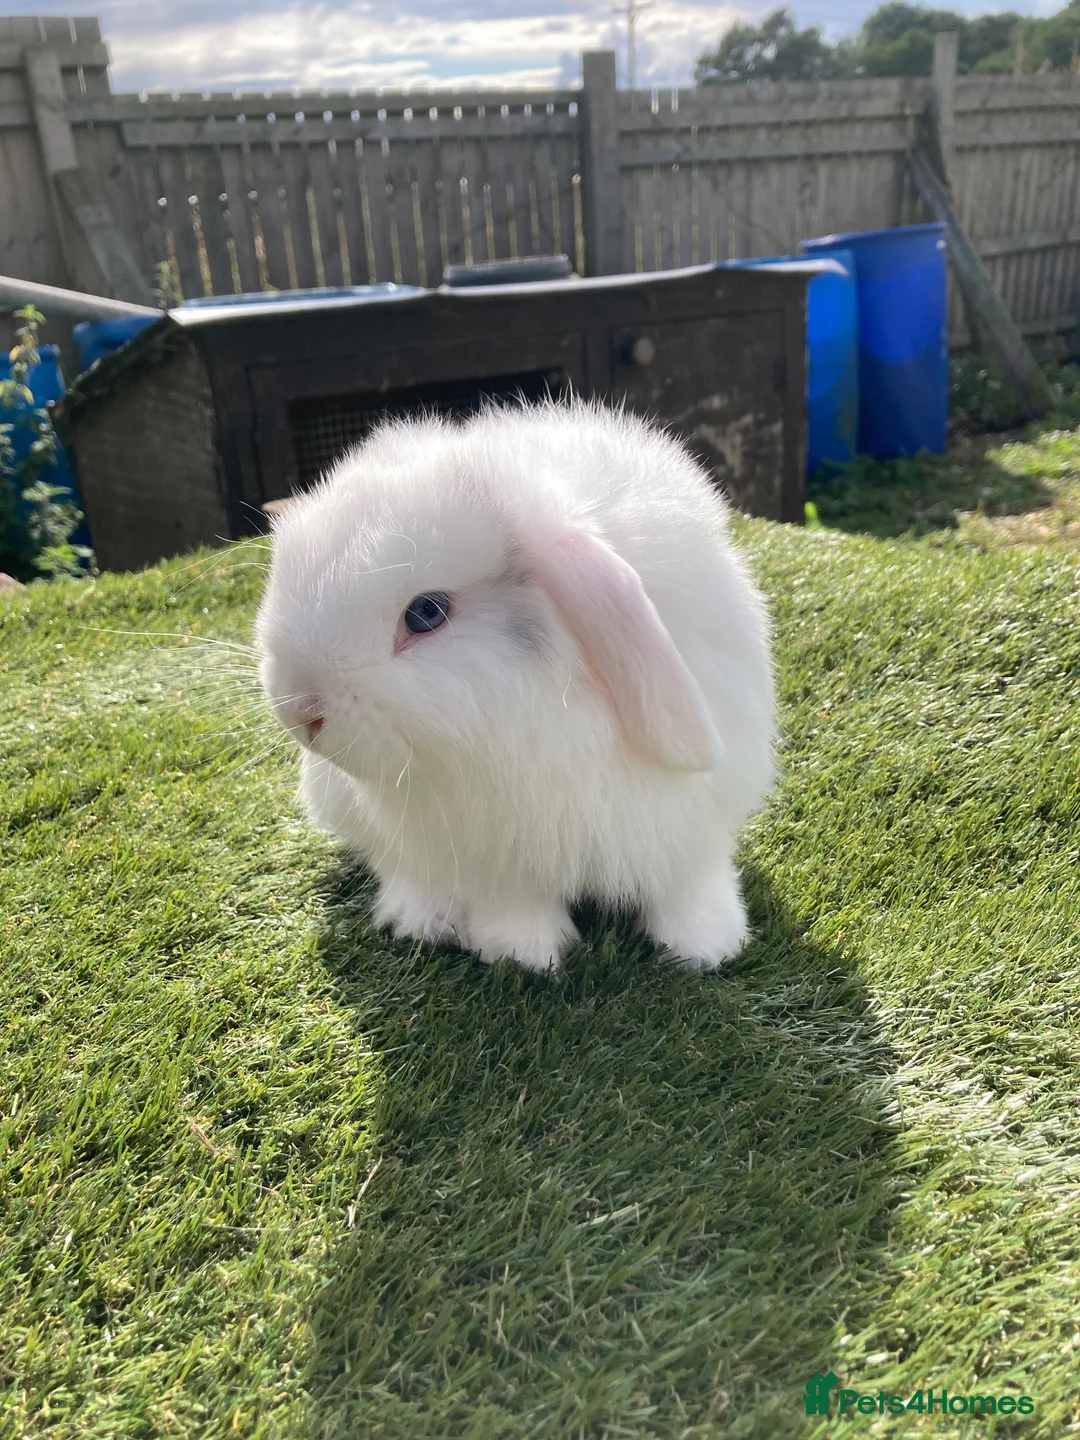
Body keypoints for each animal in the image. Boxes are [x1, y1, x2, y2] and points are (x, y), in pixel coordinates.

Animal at [255, 397, 776, 974]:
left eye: (426, 612)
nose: (302, 713)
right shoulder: (489, 855)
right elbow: (511, 900)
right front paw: (523, 955)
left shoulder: (692, 826)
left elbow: (688, 882)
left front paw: (706, 946)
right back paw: (421, 919)